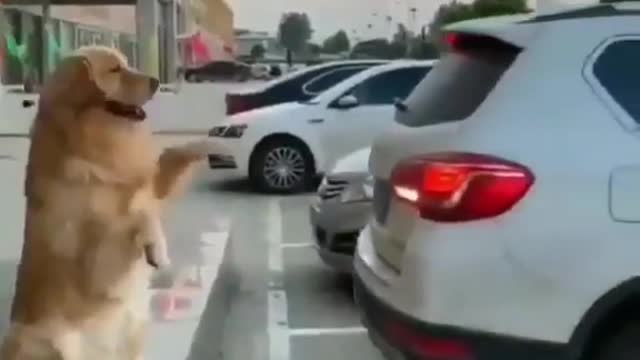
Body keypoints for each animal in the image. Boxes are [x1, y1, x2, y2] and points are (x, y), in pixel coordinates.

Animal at [0, 46, 212, 358]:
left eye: (126, 64)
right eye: (114, 70)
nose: (156, 81)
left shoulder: (149, 189)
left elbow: (164, 172)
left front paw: (209, 145)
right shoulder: (97, 264)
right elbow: (137, 217)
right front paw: (157, 248)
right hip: (49, 340)